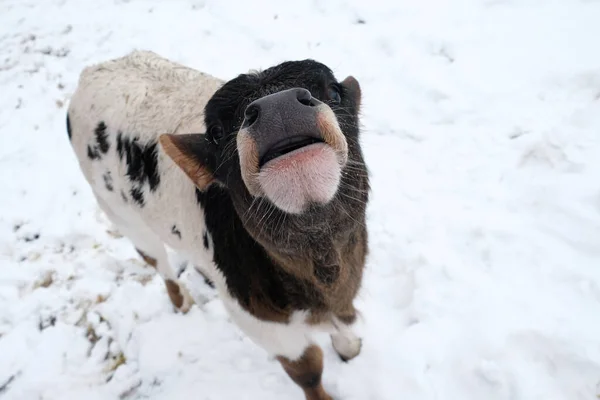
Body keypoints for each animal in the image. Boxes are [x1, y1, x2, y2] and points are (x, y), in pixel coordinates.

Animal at [65, 50, 368, 400]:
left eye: (333, 92)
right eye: (217, 132)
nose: (278, 106)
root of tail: (97, 68)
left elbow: (347, 330)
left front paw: (349, 347)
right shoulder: (261, 323)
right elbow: (307, 368)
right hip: (120, 214)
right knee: (156, 260)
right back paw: (181, 301)